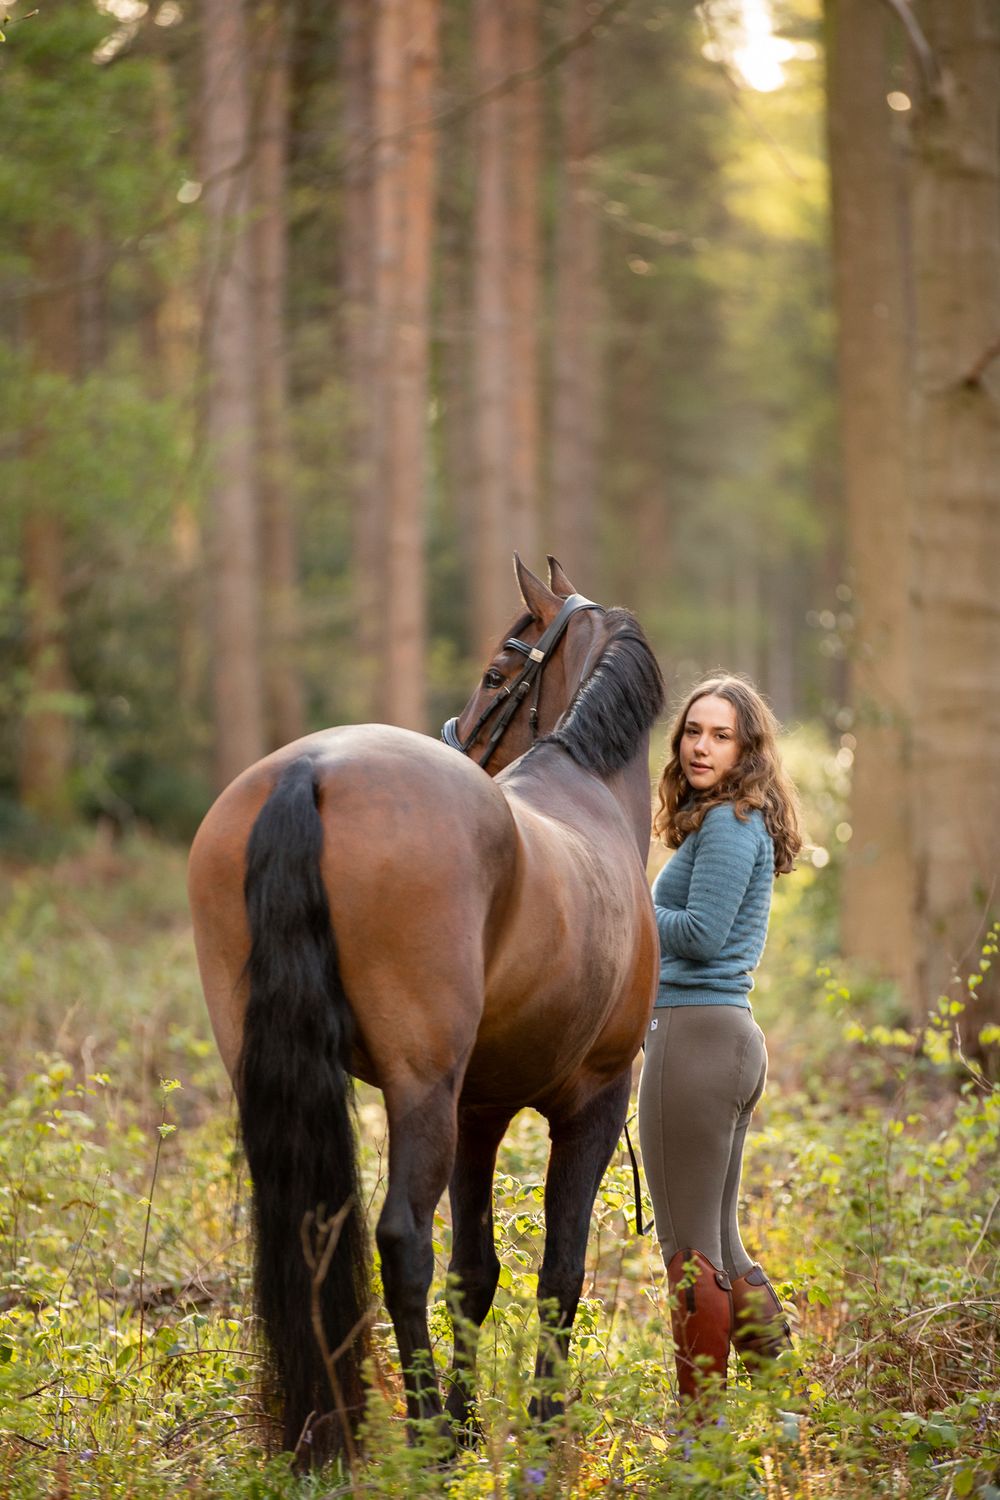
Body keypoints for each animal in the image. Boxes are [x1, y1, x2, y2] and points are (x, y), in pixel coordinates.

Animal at [187, 555, 664, 1462]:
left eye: (496, 673)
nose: (460, 737)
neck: (584, 790)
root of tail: (312, 769)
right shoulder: (591, 1099)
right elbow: (558, 1272)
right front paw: (535, 1426)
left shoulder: (480, 1107)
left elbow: (476, 1273)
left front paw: (477, 1423)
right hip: (420, 1089)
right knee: (401, 1240)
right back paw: (425, 1427)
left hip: (274, 1076)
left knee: (307, 1231)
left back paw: (325, 1428)